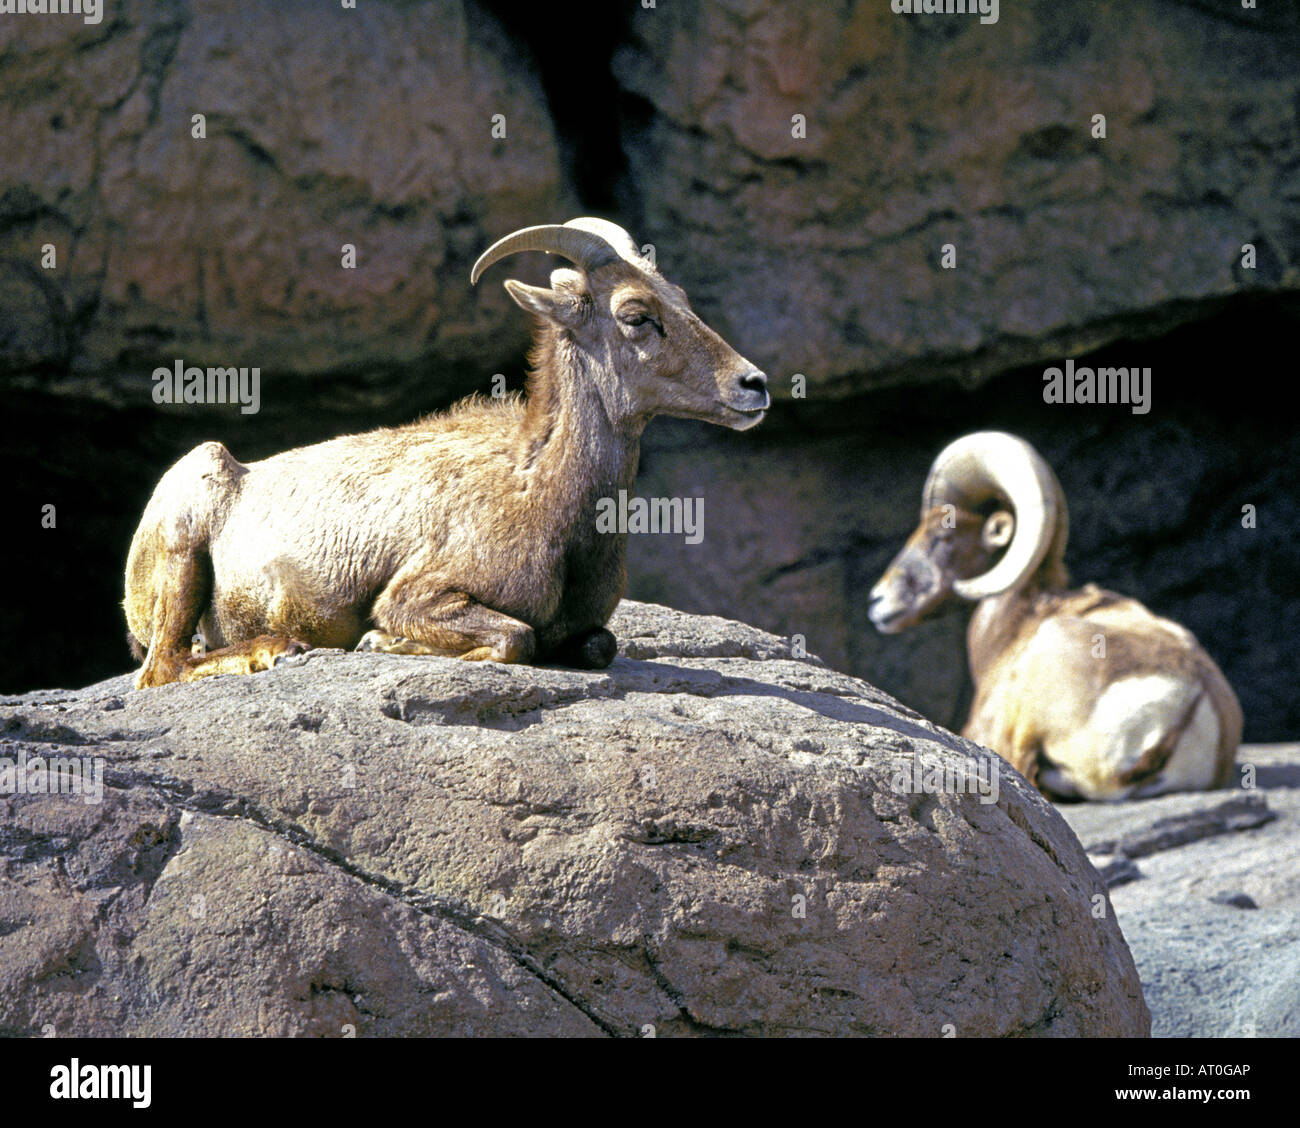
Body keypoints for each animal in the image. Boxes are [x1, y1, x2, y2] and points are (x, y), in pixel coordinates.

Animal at [123, 217, 769, 688]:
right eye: (636, 315)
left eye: (679, 298)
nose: (754, 385)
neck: (545, 495)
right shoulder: (420, 594)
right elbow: (515, 638)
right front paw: (383, 640)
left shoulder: (587, 629)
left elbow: (599, 646)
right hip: (185, 541)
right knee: (162, 668)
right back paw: (279, 650)